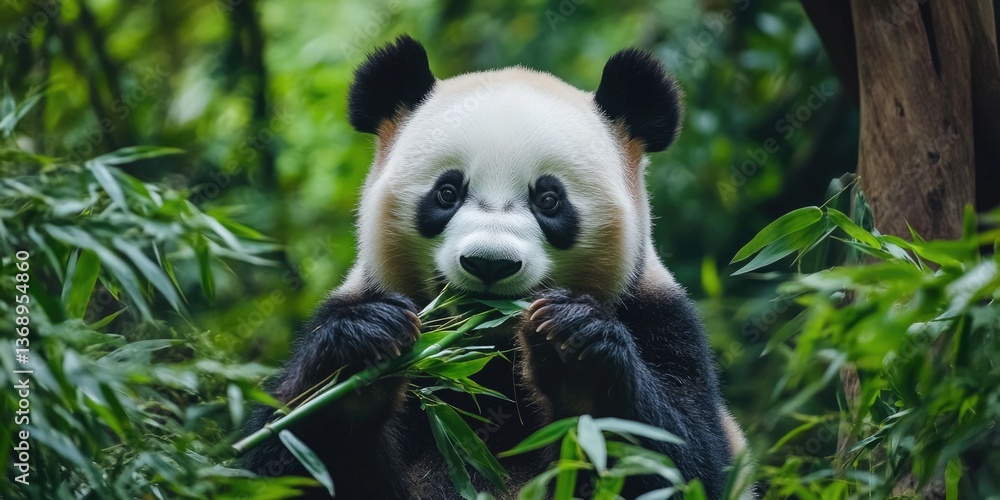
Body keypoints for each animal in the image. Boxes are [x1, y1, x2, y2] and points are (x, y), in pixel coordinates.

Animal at [243, 35, 747, 499]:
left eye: (549, 200)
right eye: (447, 192)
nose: (489, 263)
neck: (491, 358)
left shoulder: (660, 319)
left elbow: (680, 458)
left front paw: (574, 347)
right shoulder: (360, 301)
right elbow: (280, 453)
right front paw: (359, 356)